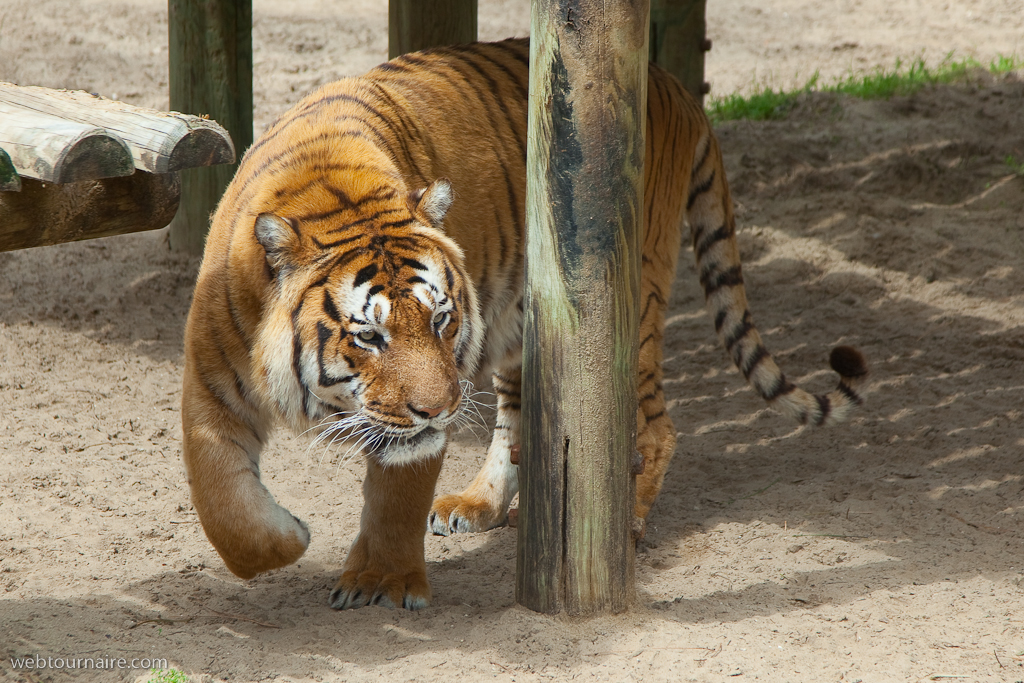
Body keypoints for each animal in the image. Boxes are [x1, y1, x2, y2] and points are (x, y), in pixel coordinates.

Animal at [180, 38, 868, 611]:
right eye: (368, 336)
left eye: (441, 321)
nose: (438, 411)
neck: (324, 189)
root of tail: (672, 83)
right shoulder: (210, 380)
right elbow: (219, 500)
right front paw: (288, 540)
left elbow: (398, 494)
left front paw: (383, 581)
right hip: (520, 327)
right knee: (517, 421)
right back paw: (479, 505)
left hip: (633, 302)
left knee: (658, 427)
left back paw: (630, 521)